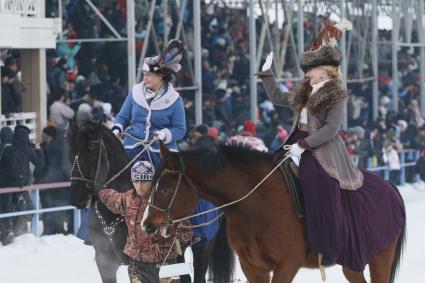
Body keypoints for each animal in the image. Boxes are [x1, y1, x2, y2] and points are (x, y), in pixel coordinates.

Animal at [142, 144, 404, 283]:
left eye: (163, 187)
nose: (147, 223)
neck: (255, 207)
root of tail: (389, 187)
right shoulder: (252, 267)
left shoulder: (286, 265)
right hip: (352, 263)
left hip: (380, 259)